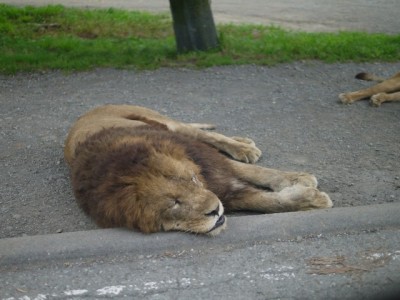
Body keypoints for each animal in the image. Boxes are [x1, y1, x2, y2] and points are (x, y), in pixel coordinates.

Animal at [65, 104, 332, 236]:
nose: (215, 210)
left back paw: (243, 147)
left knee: (208, 135)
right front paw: (310, 199)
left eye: (193, 179)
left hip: (171, 126)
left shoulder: (209, 162)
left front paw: (300, 181)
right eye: (174, 203)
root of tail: (91, 110)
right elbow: (267, 202)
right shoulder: (228, 193)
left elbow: (258, 174)